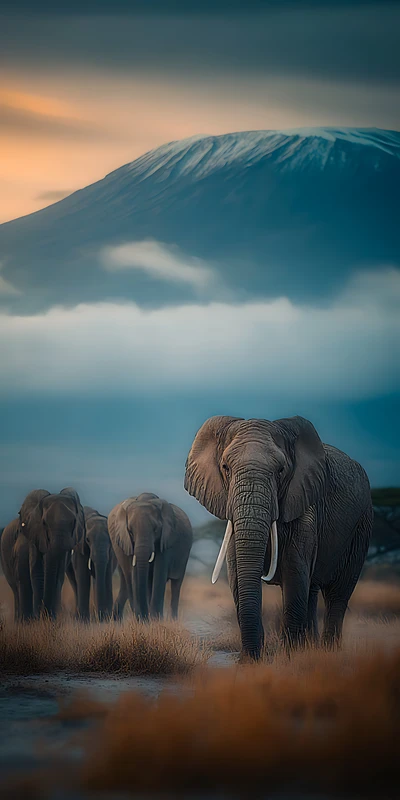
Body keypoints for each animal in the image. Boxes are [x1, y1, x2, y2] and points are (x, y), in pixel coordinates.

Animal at [18, 487, 86, 618]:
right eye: (44, 523)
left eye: (73, 522)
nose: (45, 613)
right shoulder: (35, 533)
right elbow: (37, 571)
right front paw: (39, 618)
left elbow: (58, 574)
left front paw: (51, 618)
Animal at [184, 415, 373, 660]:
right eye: (225, 467)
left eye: (281, 470)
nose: (250, 657)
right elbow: (237, 573)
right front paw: (251, 661)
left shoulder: (305, 504)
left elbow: (294, 571)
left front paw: (290, 659)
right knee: (312, 589)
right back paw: (310, 647)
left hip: (361, 524)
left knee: (337, 594)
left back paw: (327, 651)